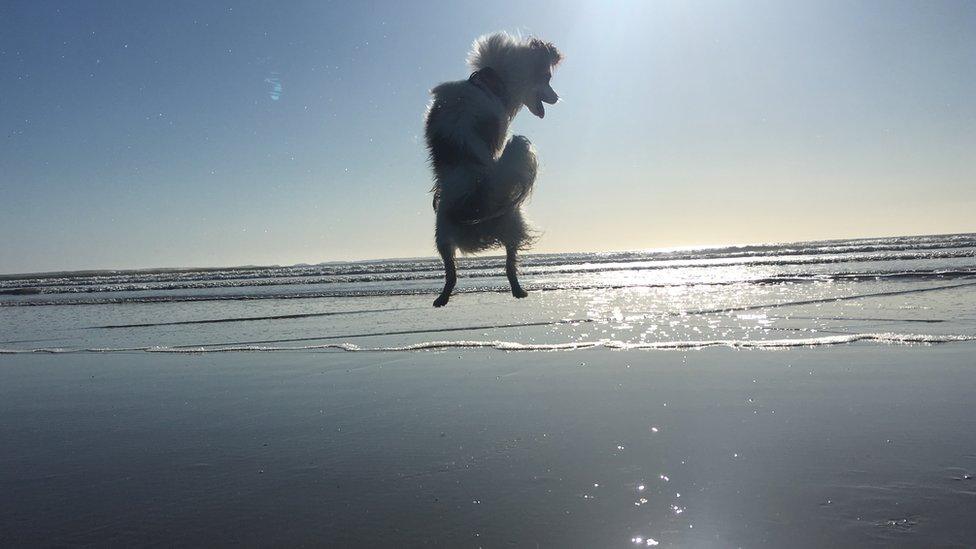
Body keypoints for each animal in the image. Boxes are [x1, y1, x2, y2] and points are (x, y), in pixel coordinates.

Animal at [424, 32, 560, 306]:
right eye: (547, 79)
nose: (558, 97)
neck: (490, 79)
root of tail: (477, 200)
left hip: (444, 235)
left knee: (456, 273)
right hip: (505, 220)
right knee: (507, 266)